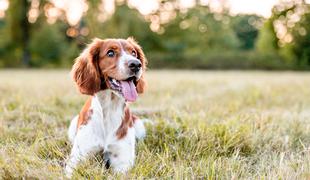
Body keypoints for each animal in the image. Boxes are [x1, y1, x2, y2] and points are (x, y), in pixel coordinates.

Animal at [65, 37, 148, 176]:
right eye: (110, 53)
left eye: (133, 53)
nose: (136, 64)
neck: (109, 109)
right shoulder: (77, 158)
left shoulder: (122, 161)